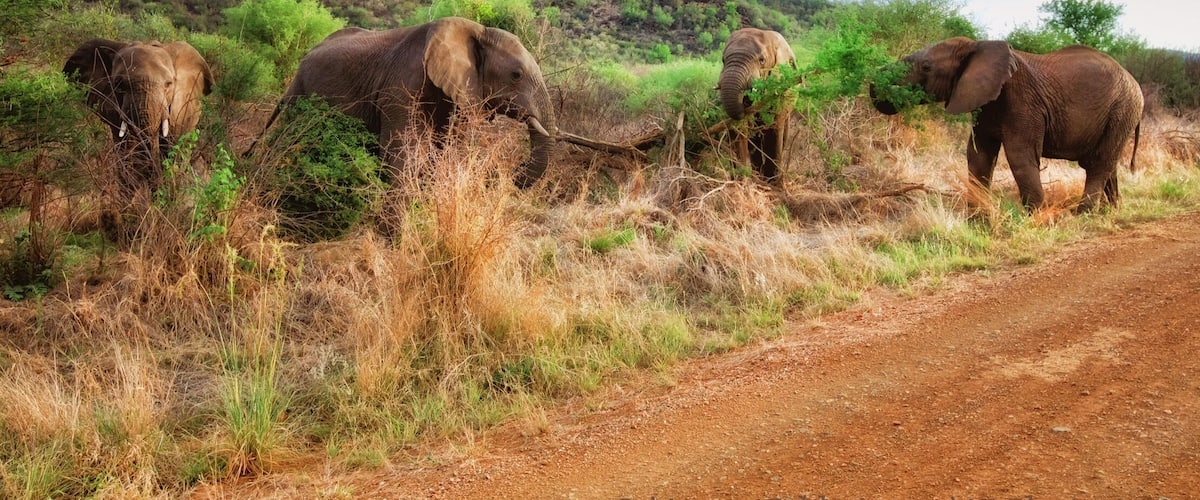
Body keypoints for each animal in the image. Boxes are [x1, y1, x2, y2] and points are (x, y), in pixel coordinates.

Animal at [266, 16, 558, 189]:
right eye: (516, 75)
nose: (510, 173)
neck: (476, 30)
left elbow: (445, 148)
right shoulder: (401, 86)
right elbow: (403, 151)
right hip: (300, 93)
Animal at [717, 28, 797, 184]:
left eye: (762, 60)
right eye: (723, 60)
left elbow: (773, 131)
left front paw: (772, 183)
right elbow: (738, 130)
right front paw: (741, 180)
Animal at [870, 37, 1143, 212]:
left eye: (926, 67)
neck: (977, 46)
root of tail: (1134, 81)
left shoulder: (1022, 101)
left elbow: (1019, 155)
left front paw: (1036, 219)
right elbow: (978, 155)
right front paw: (977, 221)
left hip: (1122, 109)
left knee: (1098, 163)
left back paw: (1083, 214)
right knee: (1107, 162)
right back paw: (1111, 211)